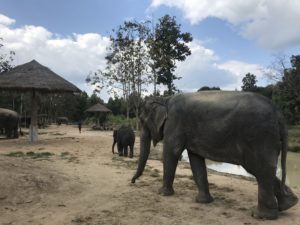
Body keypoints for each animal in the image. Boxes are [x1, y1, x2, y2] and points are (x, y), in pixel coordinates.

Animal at [132, 91, 298, 220]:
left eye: (142, 120)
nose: (133, 182)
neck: (165, 99)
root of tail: (278, 113)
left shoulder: (175, 123)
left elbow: (171, 152)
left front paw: (162, 194)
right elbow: (195, 159)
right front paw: (203, 202)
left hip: (259, 136)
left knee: (258, 169)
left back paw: (261, 216)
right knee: (262, 170)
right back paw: (289, 204)